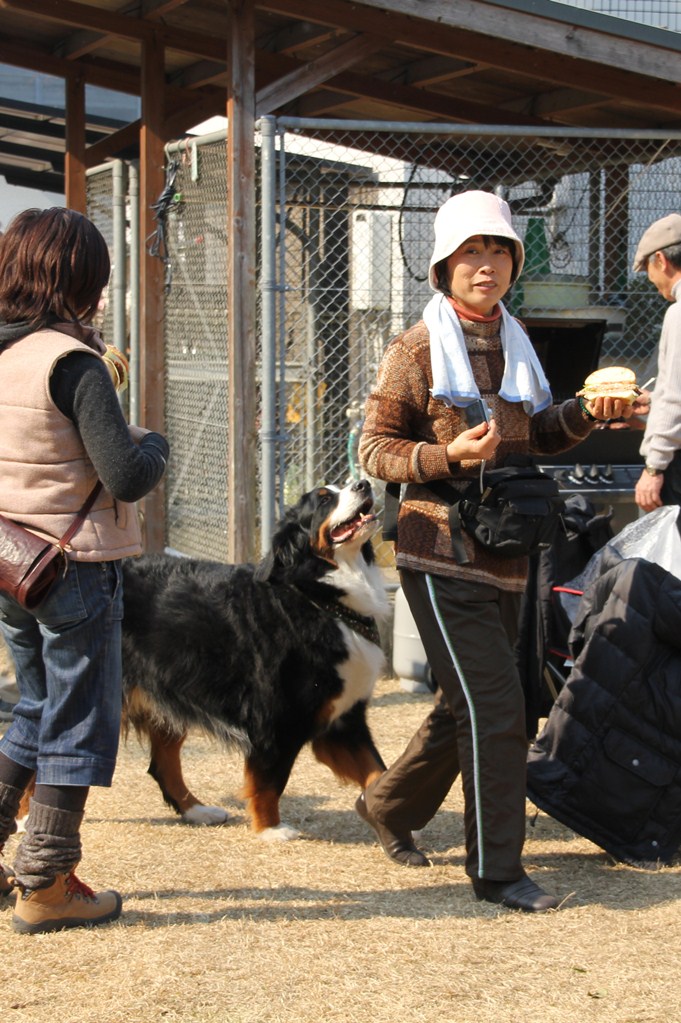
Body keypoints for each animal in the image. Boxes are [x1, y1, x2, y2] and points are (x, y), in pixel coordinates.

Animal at [120, 476, 390, 838]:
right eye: (323, 500)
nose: (363, 483)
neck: (319, 594)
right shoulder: (278, 718)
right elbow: (269, 782)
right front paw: (270, 829)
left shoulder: (344, 718)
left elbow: (378, 771)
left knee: (163, 763)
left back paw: (198, 811)